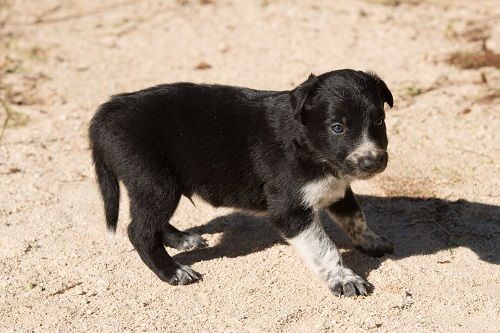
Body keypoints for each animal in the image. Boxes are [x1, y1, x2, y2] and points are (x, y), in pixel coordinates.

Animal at [89, 69, 394, 296]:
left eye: (379, 121)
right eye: (337, 127)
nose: (372, 162)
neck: (309, 144)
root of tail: (106, 113)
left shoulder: (337, 188)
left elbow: (355, 217)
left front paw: (371, 241)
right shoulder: (289, 209)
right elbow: (323, 246)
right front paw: (344, 279)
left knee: (153, 223)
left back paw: (181, 239)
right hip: (155, 183)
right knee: (139, 231)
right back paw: (173, 271)